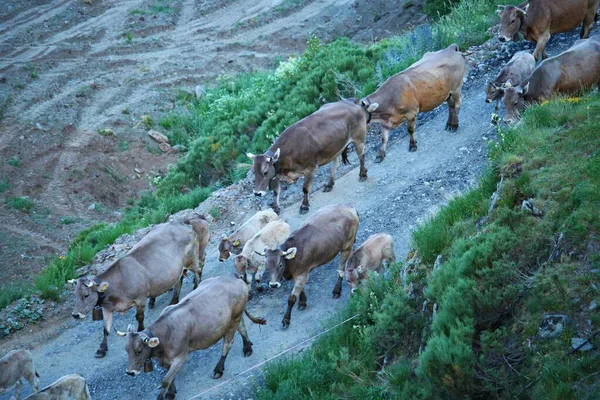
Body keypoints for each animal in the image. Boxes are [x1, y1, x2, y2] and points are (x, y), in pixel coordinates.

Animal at [70, 219, 209, 360]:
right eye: (75, 294)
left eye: (86, 295)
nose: (75, 315)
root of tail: (184, 225)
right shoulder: (107, 308)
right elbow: (106, 328)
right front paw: (102, 348)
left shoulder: (140, 299)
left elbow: (139, 317)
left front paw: (139, 331)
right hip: (177, 269)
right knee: (179, 280)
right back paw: (173, 300)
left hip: (191, 259)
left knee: (198, 269)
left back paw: (195, 287)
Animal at [119, 276, 264, 400]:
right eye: (126, 350)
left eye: (139, 351)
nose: (129, 372)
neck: (165, 333)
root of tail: (233, 277)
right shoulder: (165, 360)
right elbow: (170, 378)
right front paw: (171, 393)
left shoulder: (181, 358)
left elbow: (165, 380)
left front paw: (163, 395)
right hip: (233, 319)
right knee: (242, 328)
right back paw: (247, 347)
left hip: (234, 319)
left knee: (227, 344)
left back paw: (218, 369)